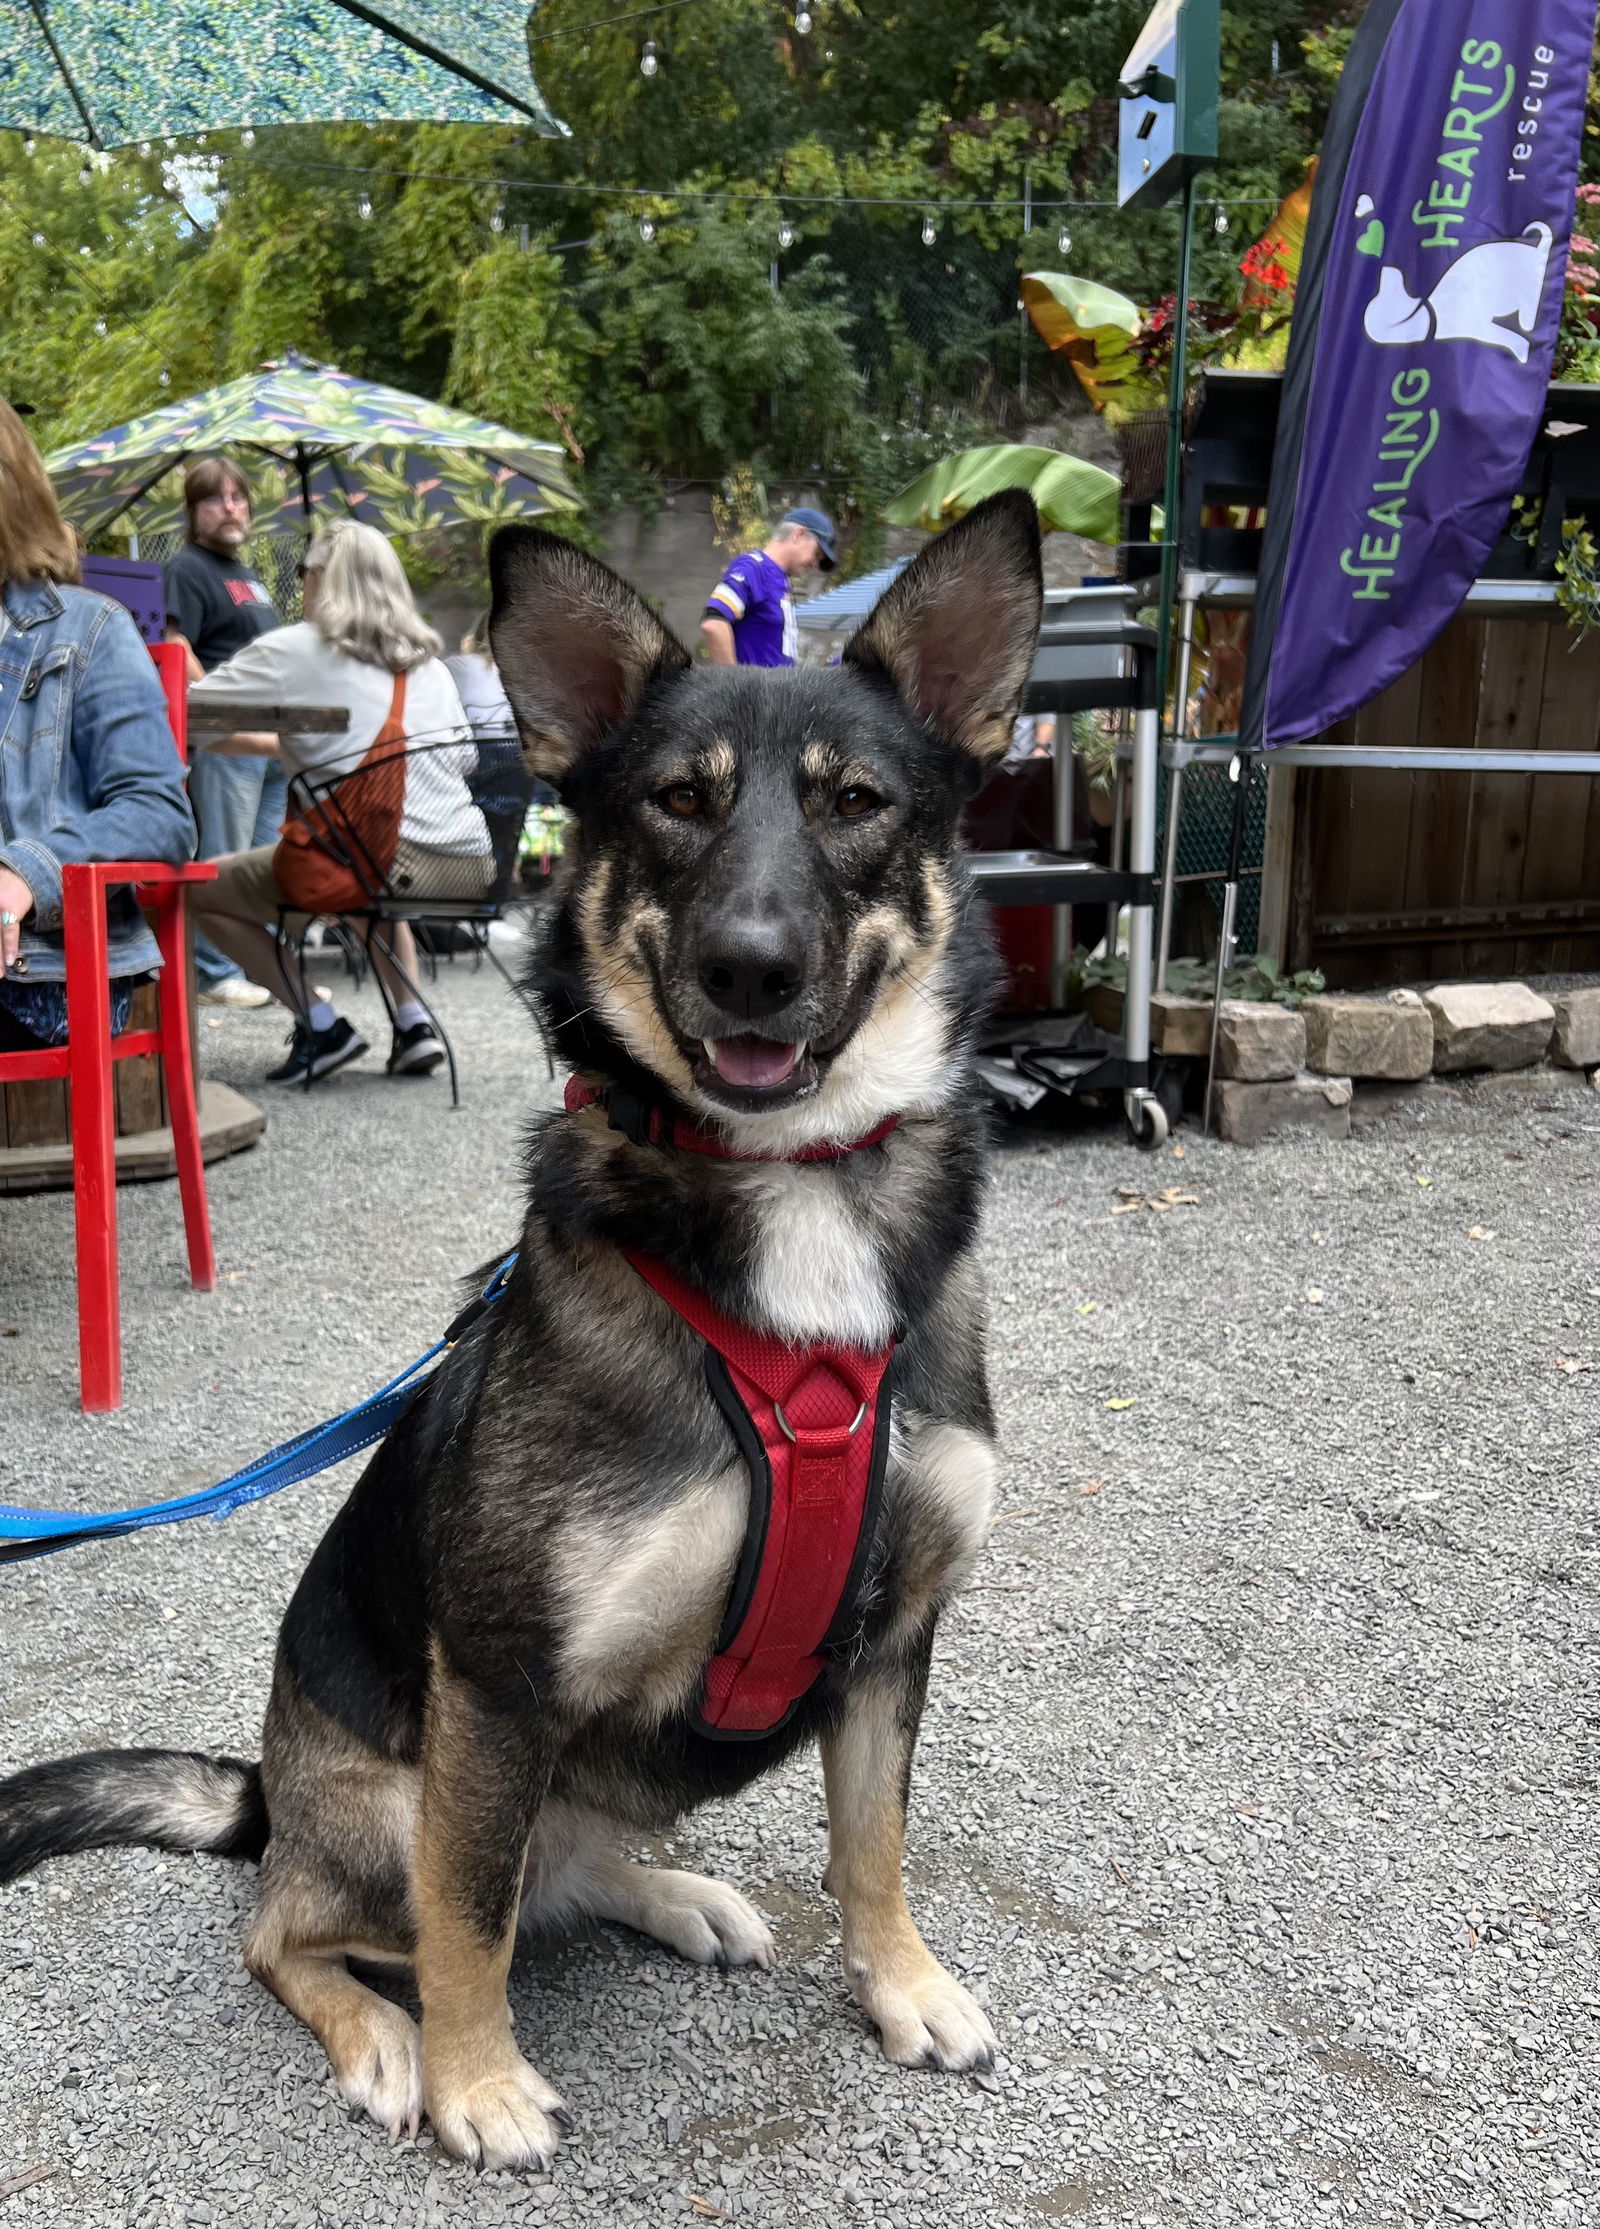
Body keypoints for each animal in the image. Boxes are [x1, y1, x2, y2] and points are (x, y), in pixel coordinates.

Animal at [0, 492, 1047, 2175]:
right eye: (677, 802)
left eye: (858, 802)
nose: (750, 966)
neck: (792, 1188)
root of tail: (267, 1792)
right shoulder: (497, 1683)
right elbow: (468, 1922)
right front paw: (475, 2081)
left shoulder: (896, 1634)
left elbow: (872, 1835)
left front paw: (902, 1980)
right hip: (386, 1804)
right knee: (303, 1925)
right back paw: (385, 2037)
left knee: (556, 1861)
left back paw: (673, 1894)